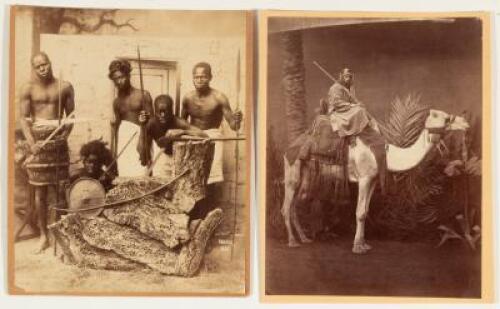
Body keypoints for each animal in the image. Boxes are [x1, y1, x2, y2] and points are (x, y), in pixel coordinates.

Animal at [284, 109, 470, 253]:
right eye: (445, 117)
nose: (465, 122)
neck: (386, 154)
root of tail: (291, 146)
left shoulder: (372, 180)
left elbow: (366, 211)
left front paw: (364, 244)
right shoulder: (364, 178)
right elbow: (359, 212)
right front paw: (357, 247)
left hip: (306, 174)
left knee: (295, 204)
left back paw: (304, 239)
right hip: (292, 169)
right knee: (286, 206)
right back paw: (292, 242)